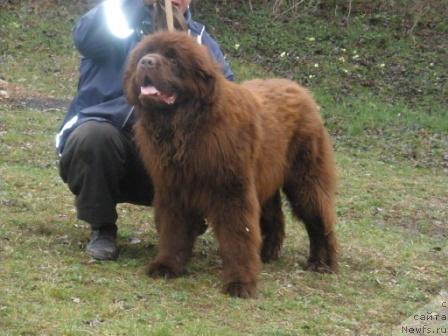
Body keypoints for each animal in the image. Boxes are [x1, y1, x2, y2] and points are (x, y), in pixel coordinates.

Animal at [122, 31, 336, 298]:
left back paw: (322, 262)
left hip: (304, 177)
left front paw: (240, 282)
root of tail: (300, 89)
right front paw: (167, 265)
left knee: (318, 217)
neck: (186, 127)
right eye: (144, 54)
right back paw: (267, 254)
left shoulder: (232, 190)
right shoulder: (173, 188)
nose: (146, 62)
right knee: (276, 218)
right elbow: (173, 229)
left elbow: (238, 235)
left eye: (172, 59)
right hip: (264, 177)